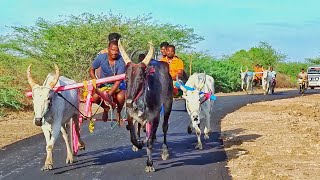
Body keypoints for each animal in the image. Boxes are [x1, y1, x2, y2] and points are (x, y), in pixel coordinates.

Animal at [118, 40, 172, 172]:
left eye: (140, 78)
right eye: (126, 78)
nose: (129, 102)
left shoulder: (155, 116)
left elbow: (150, 141)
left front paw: (149, 163)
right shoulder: (130, 115)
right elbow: (133, 136)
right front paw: (138, 144)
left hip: (168, 103)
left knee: (164, 127)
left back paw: (164, 150)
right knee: (139, 127)